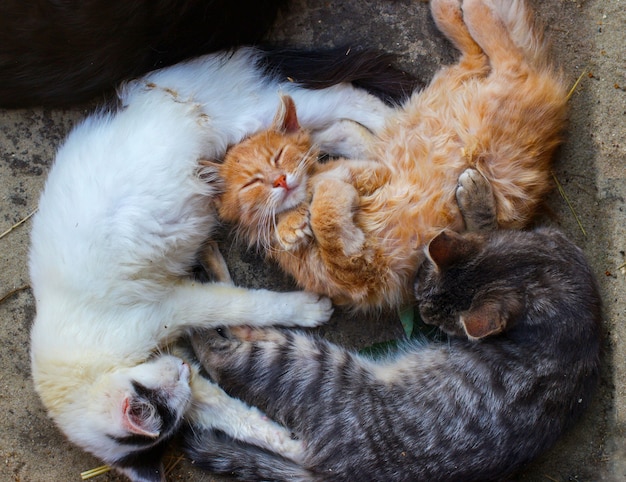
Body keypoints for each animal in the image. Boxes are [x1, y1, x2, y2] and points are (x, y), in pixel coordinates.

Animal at [28, 46, 404, 482]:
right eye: (171, 407)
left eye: (154, 400)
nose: (182, 369)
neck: (85, 368)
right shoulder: (183, 371)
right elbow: (234, 415)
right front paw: (286, 445)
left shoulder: (174, 303)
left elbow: (243, 303)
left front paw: (307, 309)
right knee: (332, 125)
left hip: (254, 111)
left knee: (342, 96)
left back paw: (401, 126)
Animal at [184, 169, 600, 482]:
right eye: (421, 295)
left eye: (447, 326)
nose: (429, 323)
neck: (540, 275)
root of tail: (331, 471)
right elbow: (489, 231)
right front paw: (478, 199)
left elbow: (489, 227)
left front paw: (478, 202)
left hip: (315, 366)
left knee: (223, 350)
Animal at [212, 0, 568, 308]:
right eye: (251, 184)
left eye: (278, 155)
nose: (281, 181)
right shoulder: (362, 274)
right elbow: (331, 213)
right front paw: (298, 218)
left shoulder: (373, 176)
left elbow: (325, 202)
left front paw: (307, 206)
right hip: (448, 97)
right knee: (484, 59)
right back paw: (454, 10)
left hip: (470, 102)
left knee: (505, 58)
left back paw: (469, 9)